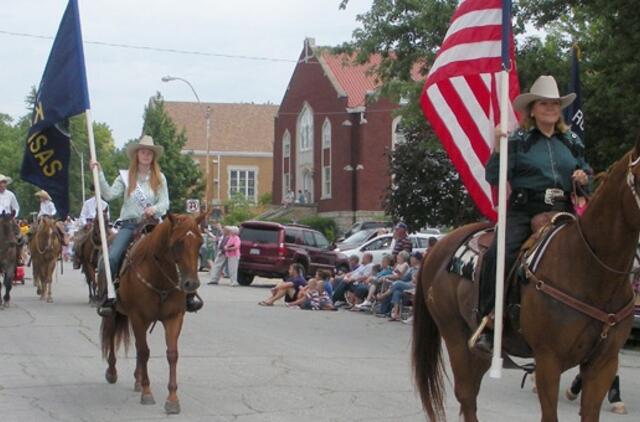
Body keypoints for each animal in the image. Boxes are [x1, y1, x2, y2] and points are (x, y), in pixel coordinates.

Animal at [100, 211, 205, 416]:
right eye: (178, 242)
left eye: (200, 242)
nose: (191, 284)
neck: (159, 277)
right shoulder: (137, 317)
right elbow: (144, 352)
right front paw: (147, 392)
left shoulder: (174, 317)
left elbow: (171, 354)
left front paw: (172, 400)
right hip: (115, 313)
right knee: (112, 337)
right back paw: (112, 372)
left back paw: (137, 380)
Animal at [412, 140, 636, 420]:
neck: (591, 268)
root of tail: (437, 247)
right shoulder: (549, 360)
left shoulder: (604, 363)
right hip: (455, 336)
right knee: (466, 394)